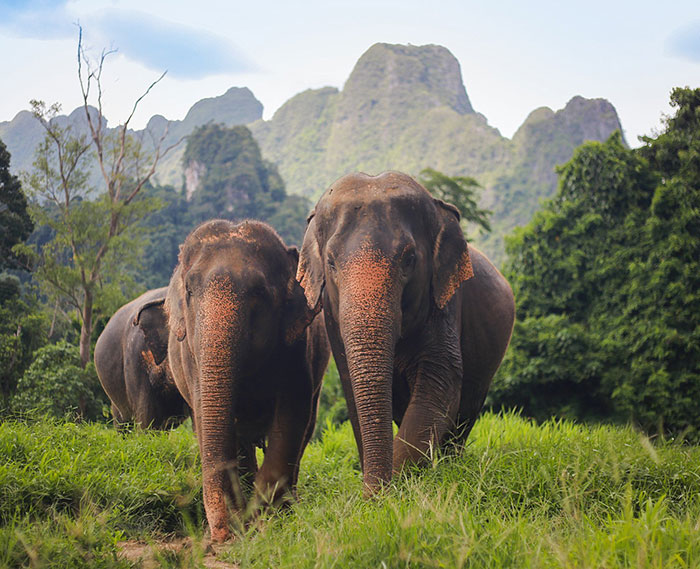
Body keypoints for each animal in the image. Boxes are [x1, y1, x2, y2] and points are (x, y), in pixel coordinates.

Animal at [165, 217, 330, 540]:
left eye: (259, 293)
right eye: (189, 291)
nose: (219, 537)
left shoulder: (296, 347)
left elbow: (290, 419)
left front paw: (263, 519)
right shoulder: (191, 357)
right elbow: (209, 421)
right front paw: (246, 519)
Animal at [296, 171, 516, 494]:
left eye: (410, 259)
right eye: (331, 262)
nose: (373, 496)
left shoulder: (445, 300)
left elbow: (441, 381)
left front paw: (398, 485)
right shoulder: (332, 320)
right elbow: (352, 392)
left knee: (465, 414)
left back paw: (449, 465)